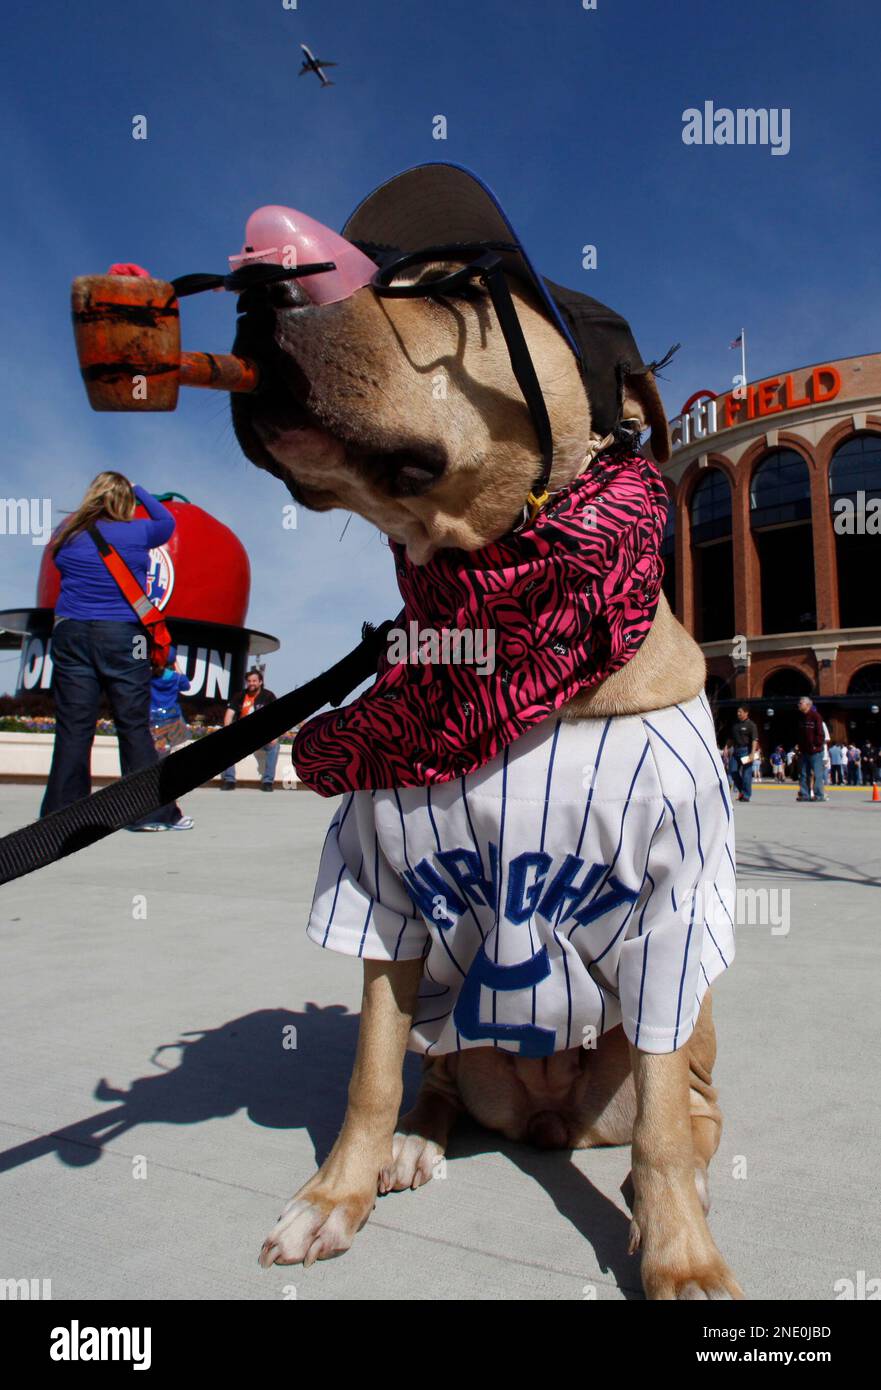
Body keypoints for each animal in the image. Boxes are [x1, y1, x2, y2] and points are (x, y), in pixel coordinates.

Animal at [229, 168, 739, 1295]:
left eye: (451, 290)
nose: (251, 279)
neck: (506, 631)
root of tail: (546, 1122)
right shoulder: (381, 896)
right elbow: (371, 1073)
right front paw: (335, 1192)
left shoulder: (672, 909)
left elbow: (663, 1133)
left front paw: (681, 1256)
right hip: (452, 1021)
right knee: (436, 1081)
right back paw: (414, 1146)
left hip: (681, 1032)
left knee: (685, 1113)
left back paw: (666, 1186)